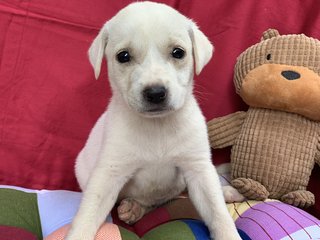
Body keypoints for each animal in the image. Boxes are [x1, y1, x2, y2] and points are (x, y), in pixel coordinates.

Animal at [66, 1, 241, 240]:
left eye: (178, 52)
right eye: (123, 56)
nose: (156, 93)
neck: (157, 126)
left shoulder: (198, 169)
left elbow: (218, 213)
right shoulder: (109, 173)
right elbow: (87, 215)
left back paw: (226, 191)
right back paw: (134, 207)